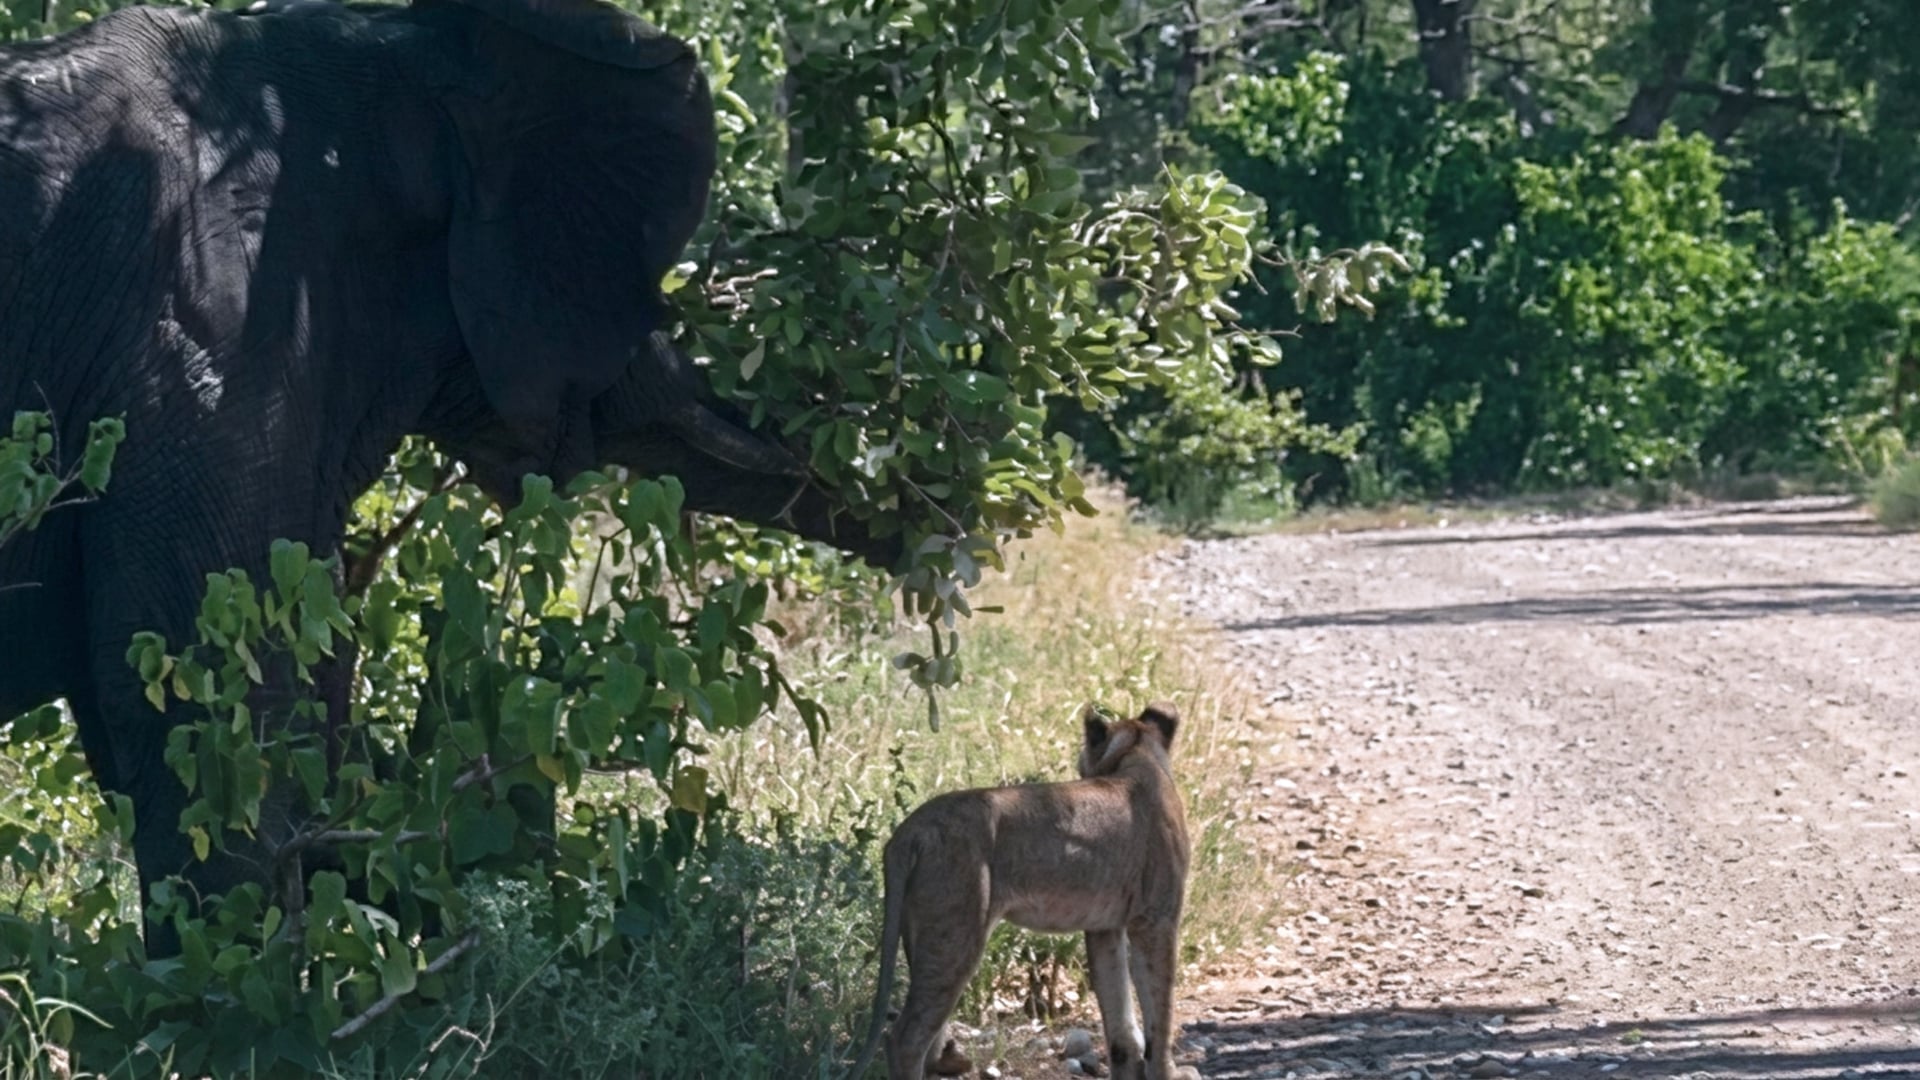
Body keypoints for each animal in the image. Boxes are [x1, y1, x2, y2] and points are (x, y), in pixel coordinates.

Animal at [844, 702, 1198, 1080]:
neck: (1138, 756)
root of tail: (909, 830)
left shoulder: (1106, 927)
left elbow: (1122, 1025)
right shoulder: (1156, 920)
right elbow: (1160, 1016)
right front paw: (1167, 1072)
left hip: (926, 937)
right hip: (954, 935)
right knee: (905, 1038)